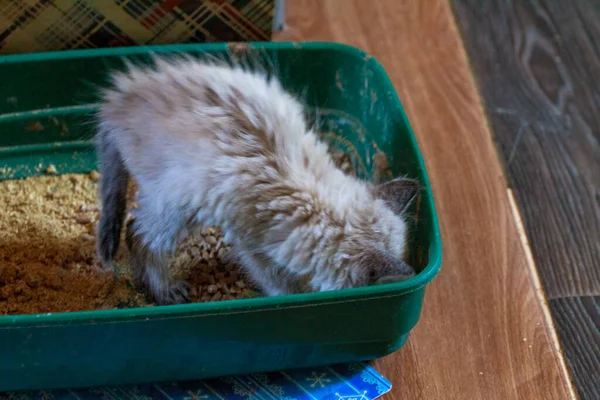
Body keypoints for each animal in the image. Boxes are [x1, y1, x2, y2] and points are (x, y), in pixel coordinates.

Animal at [96, 56, 420, 304]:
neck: (316, 199)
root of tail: (117, 102)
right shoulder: (252, 246)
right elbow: (277, 284)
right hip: (176, 208)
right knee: (137, 235)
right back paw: (166, 292)